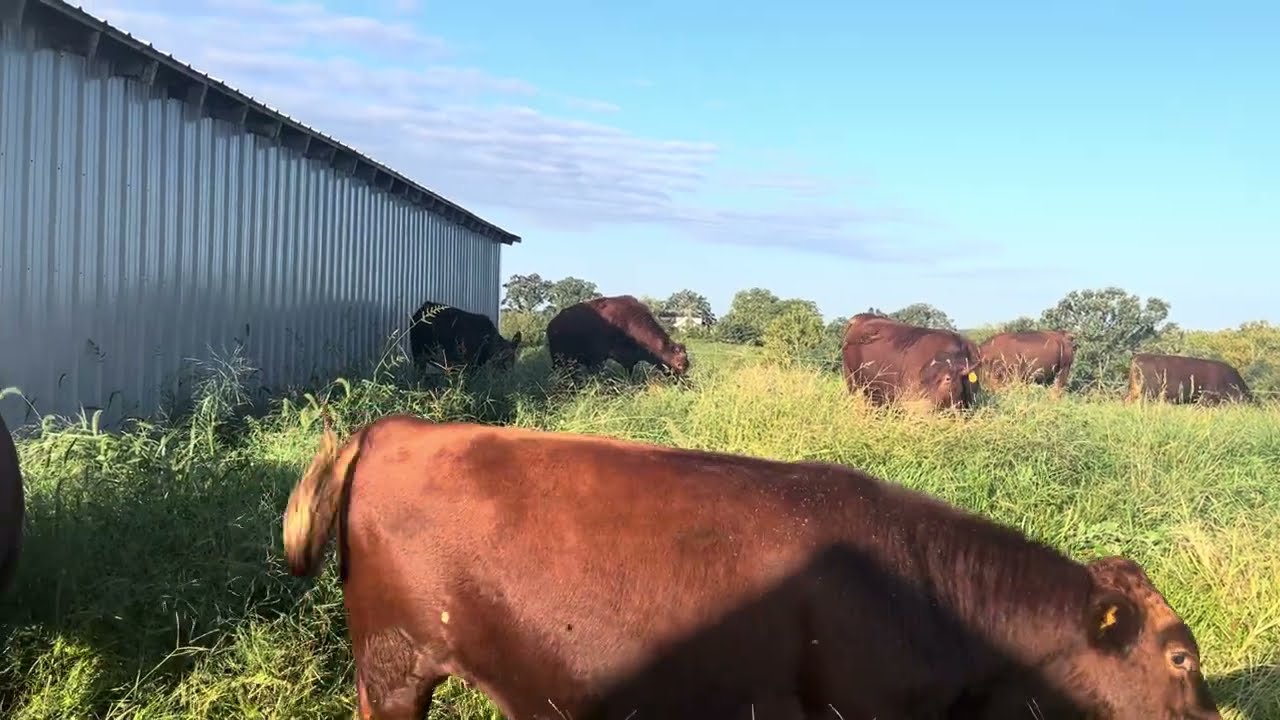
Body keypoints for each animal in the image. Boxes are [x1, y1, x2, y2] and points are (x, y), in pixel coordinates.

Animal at [546, 295, 690, 377]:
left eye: (687, 365)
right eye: (679, 365)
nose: (681, 382)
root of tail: (552, 323)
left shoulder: (629, 361)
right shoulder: (597, 359)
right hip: (559, 359)